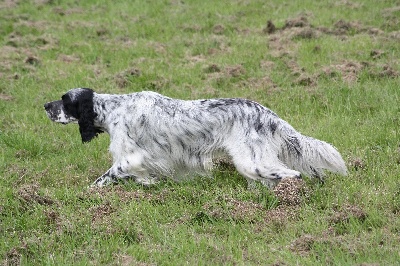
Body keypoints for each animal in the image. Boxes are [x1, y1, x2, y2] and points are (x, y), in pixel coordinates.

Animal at [44, 88, 346, 188]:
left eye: (64, 101)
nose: (45, 106)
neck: (114, 109)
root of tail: (269, 114)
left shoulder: (129, 159)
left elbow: (101, 180)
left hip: (251, 161)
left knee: (292, 174)